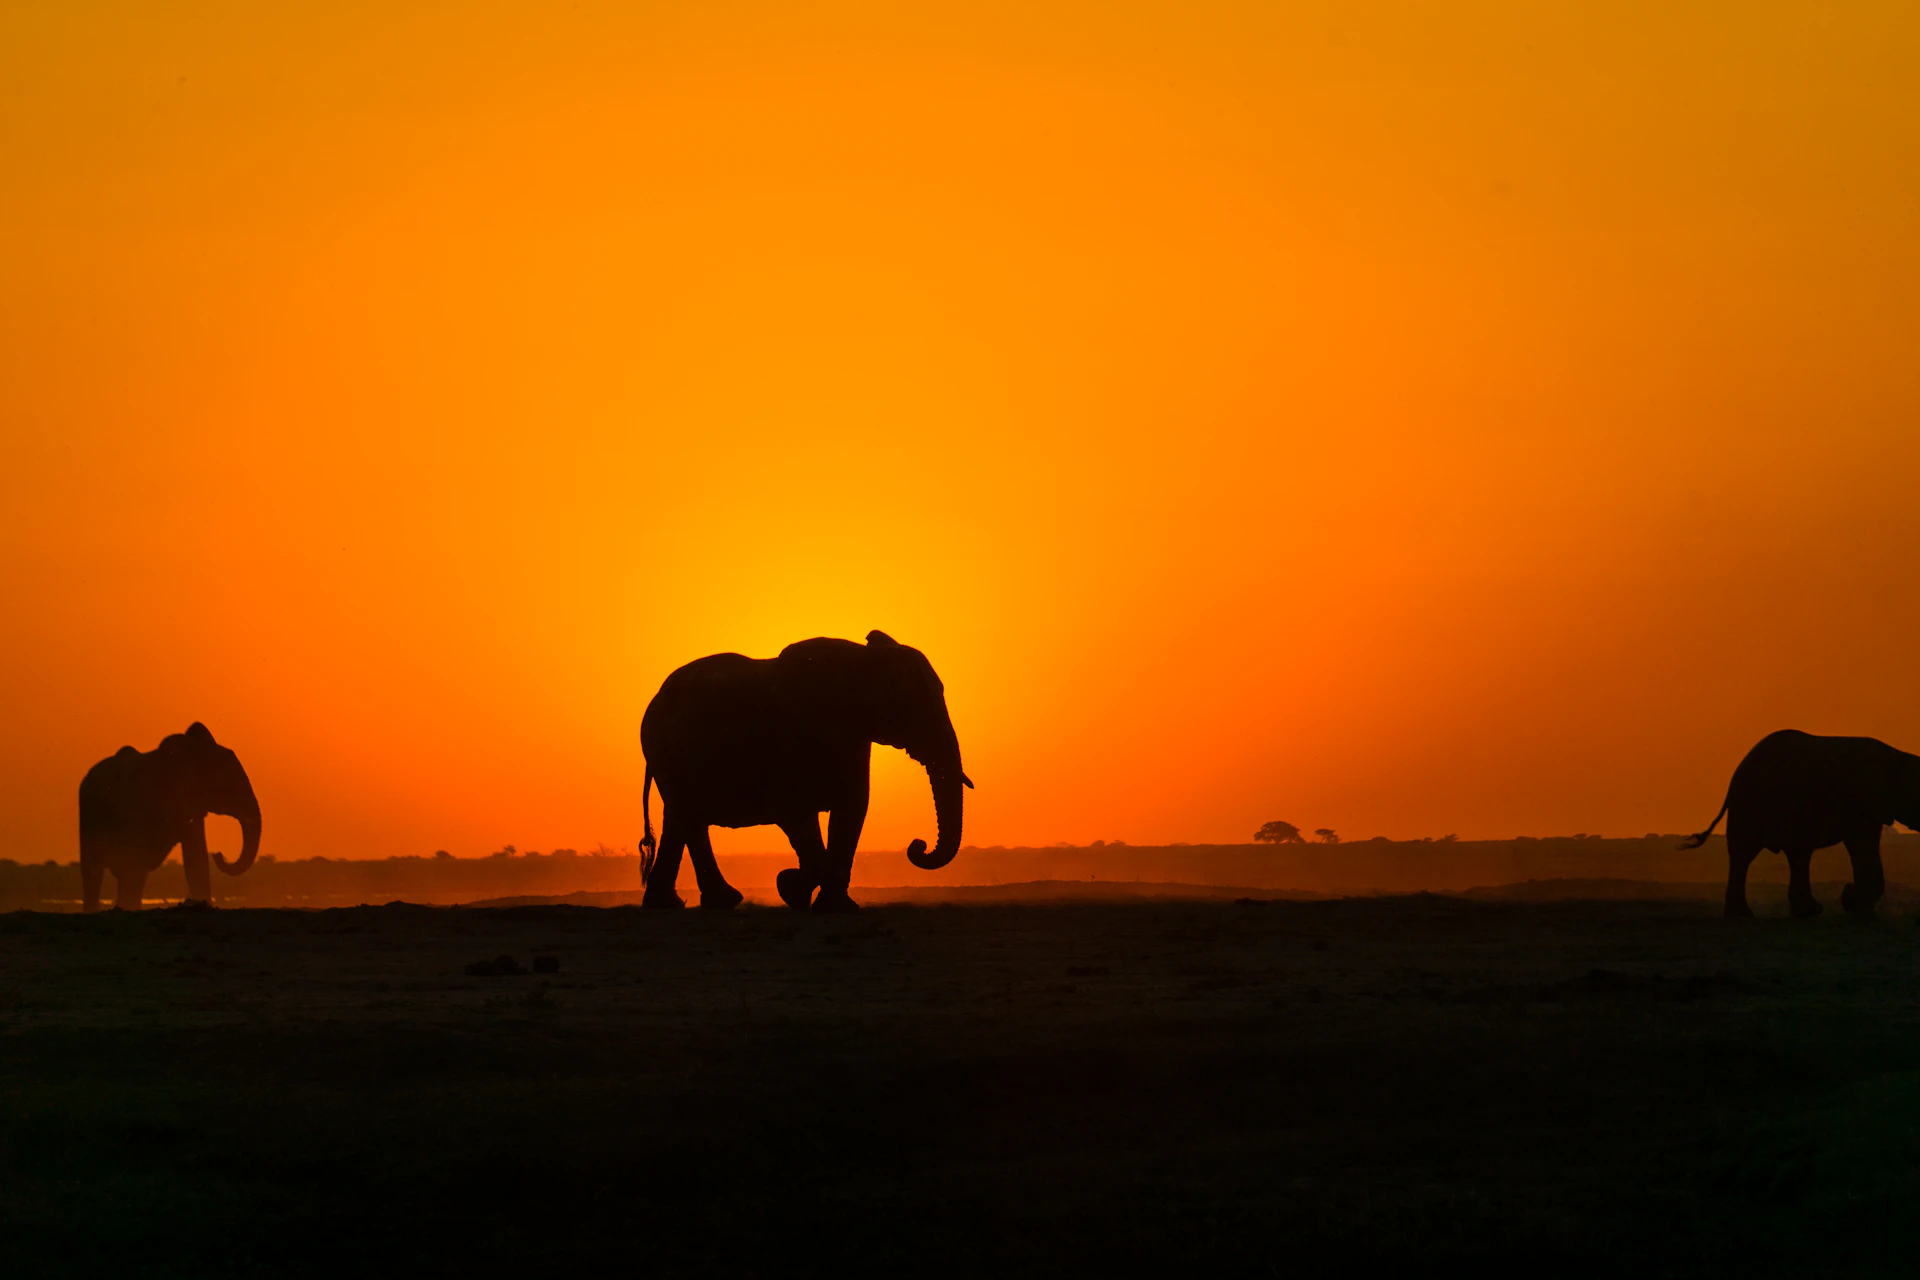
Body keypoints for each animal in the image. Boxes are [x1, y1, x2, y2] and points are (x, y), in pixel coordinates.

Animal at [638, 630, 972, 912]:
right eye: (908, 704)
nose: (917, 845)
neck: (861, 660)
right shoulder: (791, 738)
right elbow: (797, 813)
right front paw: (790, 888)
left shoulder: (853, 737)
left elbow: (851, 810)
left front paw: (834, 907)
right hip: (666, 751)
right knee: (687, 817)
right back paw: (708, 902)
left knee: (682, 819)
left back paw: (682, 904)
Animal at [1679, 729, 1915, 918]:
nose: (1847, 892)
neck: (1898, 756)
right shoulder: (1860, 803)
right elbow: (1862, 845)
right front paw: (1856, 906)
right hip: (1751, 805)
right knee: (1745, 853)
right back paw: (1745, 915)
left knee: (1794, 854)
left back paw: (1803, 912)